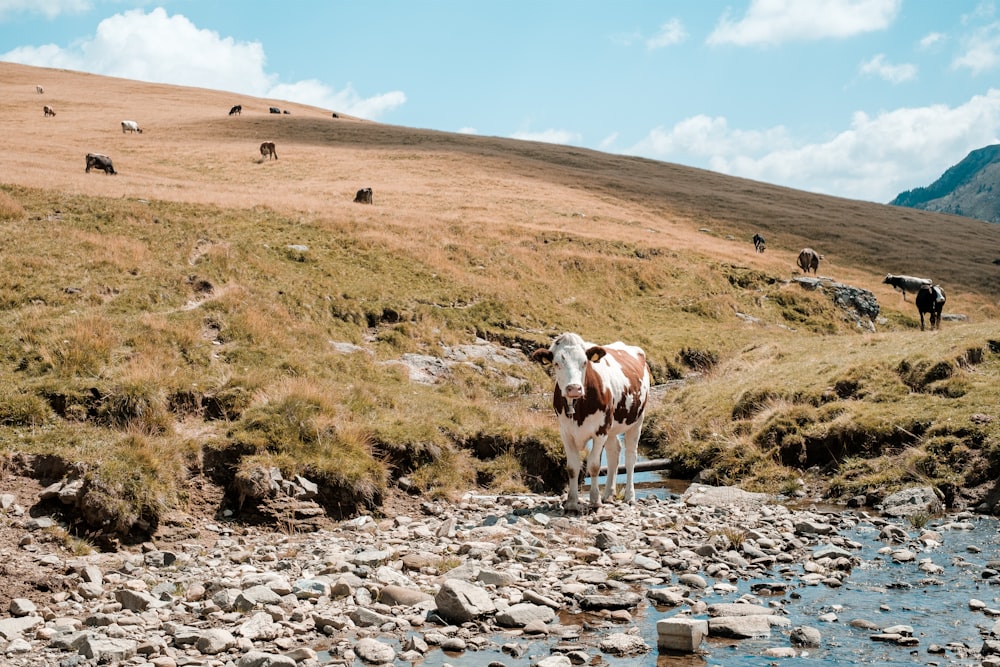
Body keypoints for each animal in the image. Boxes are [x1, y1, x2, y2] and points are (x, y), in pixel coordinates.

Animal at [532, 332, 648, 512]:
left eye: (584, 362)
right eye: (557, 363)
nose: (574, 388)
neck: (578, 408)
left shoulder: (600, 431)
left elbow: (594, 465)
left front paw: (595, 501)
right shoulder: (566, 432)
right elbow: (572, 467)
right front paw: (572, 503)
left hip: (637, 420)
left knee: (630, 457)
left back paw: (629, 496)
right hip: (611, 427)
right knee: (614, 453)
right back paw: (608, 494)